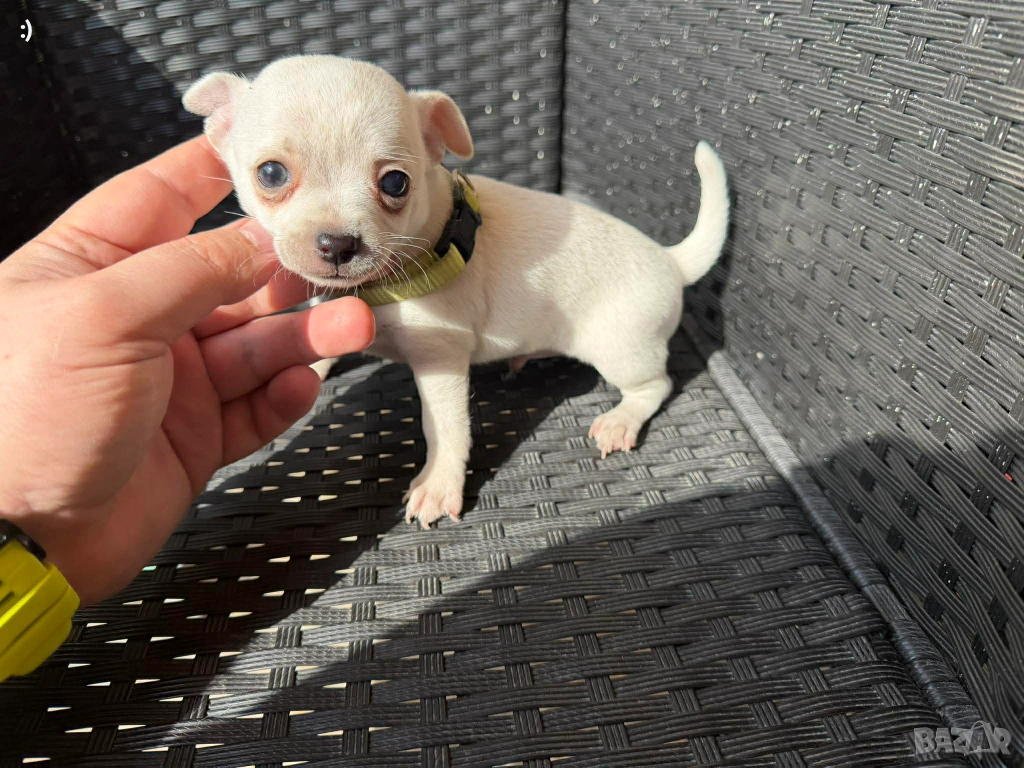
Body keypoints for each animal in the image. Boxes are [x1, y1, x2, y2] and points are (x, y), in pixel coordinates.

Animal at [183, 55, 729, 528]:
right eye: (271, 173)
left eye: (396, 183)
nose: (338, 243)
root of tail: (671, 261)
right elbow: (317, 339)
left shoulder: (439, 357)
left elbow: (443, 428)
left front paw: (438, 485)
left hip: (620, 347)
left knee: (655, 385)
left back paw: (621, 420)